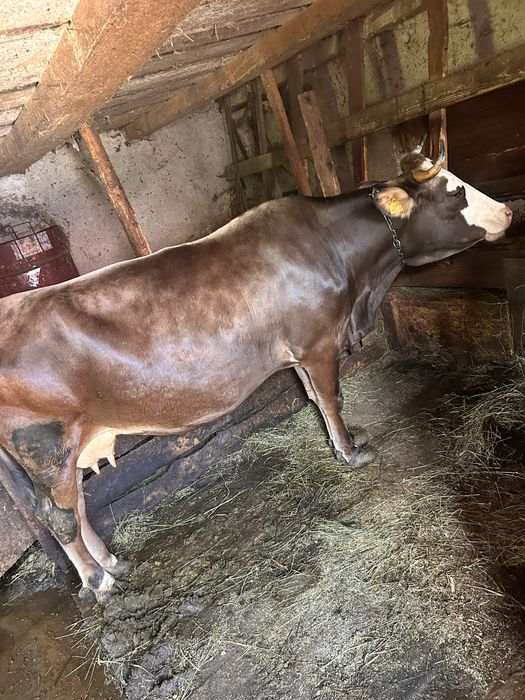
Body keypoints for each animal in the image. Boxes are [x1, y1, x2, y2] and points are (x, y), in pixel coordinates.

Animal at [0, 143, 512, 603]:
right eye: (454, 192)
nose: (508, 211)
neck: (358, 279)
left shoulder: (301, 353)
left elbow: (314, 399)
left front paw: (343, 442)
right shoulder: (318, 342)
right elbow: (332, 398)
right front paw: (351, 453)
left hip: (67, 447)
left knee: (77, 505)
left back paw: (110, 561)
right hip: (46, 444)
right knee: (58, 517)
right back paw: (99, 582)